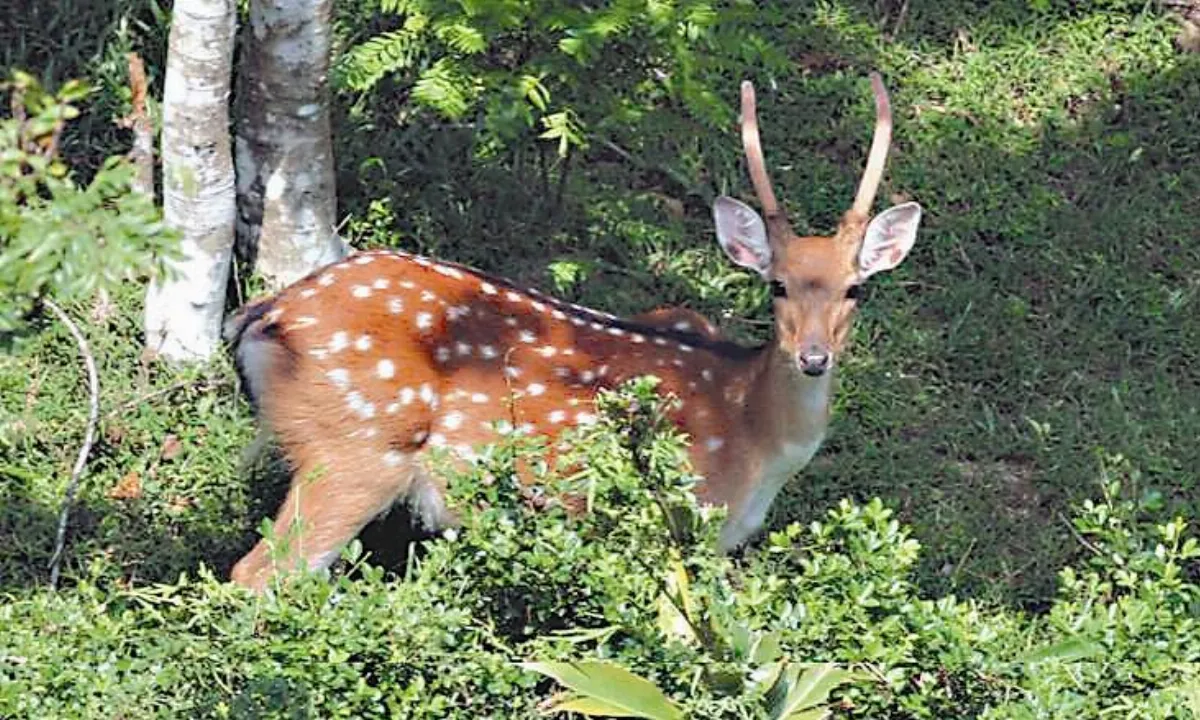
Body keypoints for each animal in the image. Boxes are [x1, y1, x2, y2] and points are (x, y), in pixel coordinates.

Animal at [223, 73, 923, 594]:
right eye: (777, 285)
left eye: (855, 289)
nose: (813, 357)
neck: (756, 442)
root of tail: (269, 315)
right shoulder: (670, 520)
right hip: (355, 450)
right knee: (257, 574)